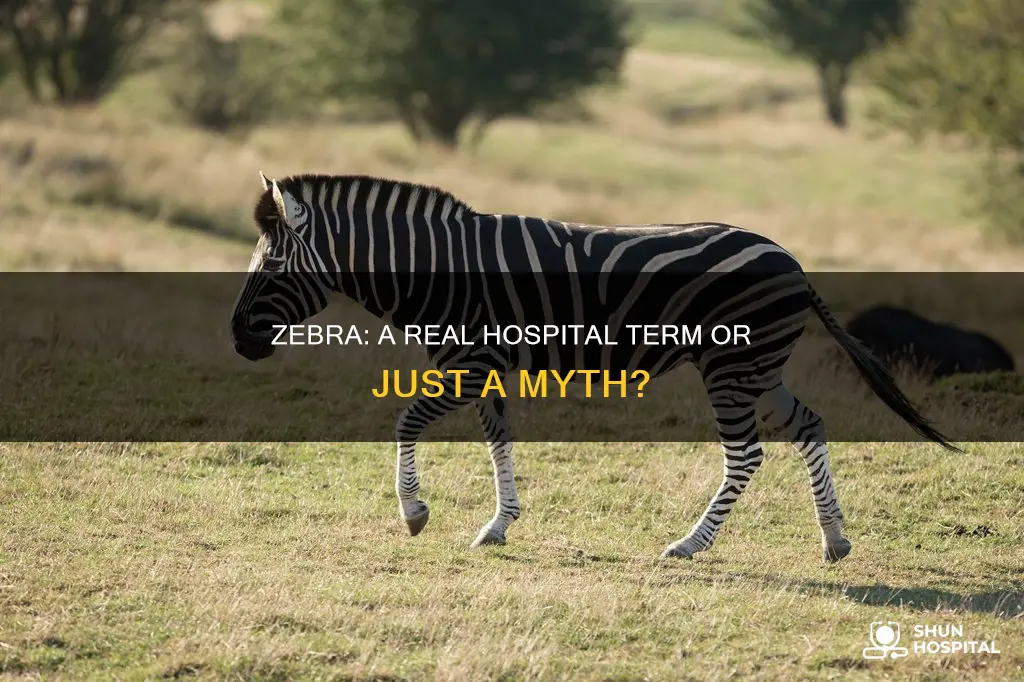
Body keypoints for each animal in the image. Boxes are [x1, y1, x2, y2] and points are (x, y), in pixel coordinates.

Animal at [230, 172, 958, 562]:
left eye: (272, 267)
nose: (238, 341)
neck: (440, 271)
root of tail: (794, 262)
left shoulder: (469, 360)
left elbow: (407, 422)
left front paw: (414, 512)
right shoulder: (484, 365)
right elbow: (497, 438)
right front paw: (499, 523)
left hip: (730, 366)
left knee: (746, 454)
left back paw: (691, 544)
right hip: (760, 366)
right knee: (808, 426)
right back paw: (833, 539)